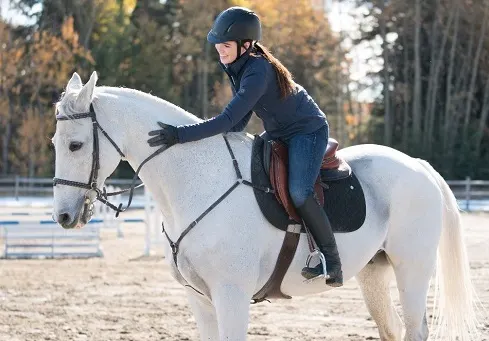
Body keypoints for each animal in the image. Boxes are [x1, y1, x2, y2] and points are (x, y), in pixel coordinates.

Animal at [51, 71, 478, 340]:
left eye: (75, 144)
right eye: (55, 143)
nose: (64, 216)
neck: (197, 180)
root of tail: (417, 165)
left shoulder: (232, 295)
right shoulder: (200, 299)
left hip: (412, 270)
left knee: (415, 328)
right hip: (374, 272)